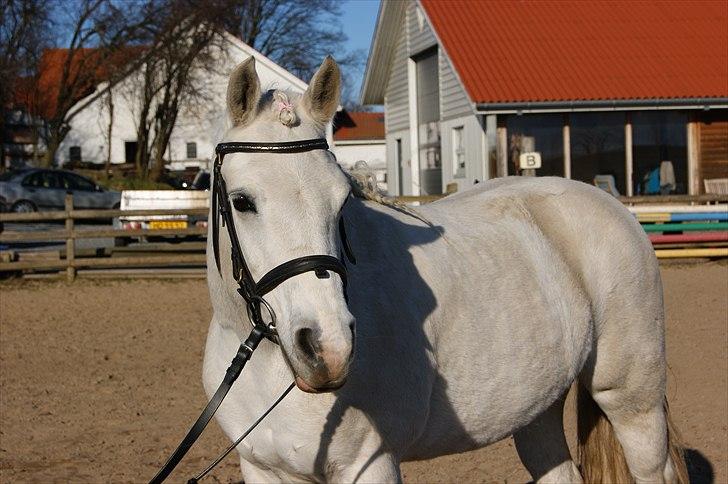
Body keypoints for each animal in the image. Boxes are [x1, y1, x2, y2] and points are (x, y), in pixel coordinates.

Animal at [203, 57, 688, 484]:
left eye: (341, 202)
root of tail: (614, 207)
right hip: (539, 409)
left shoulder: (371, 465)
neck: (269, 365)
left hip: (632, 403)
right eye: (243, 201)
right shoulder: (261, 469)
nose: (328, 349)